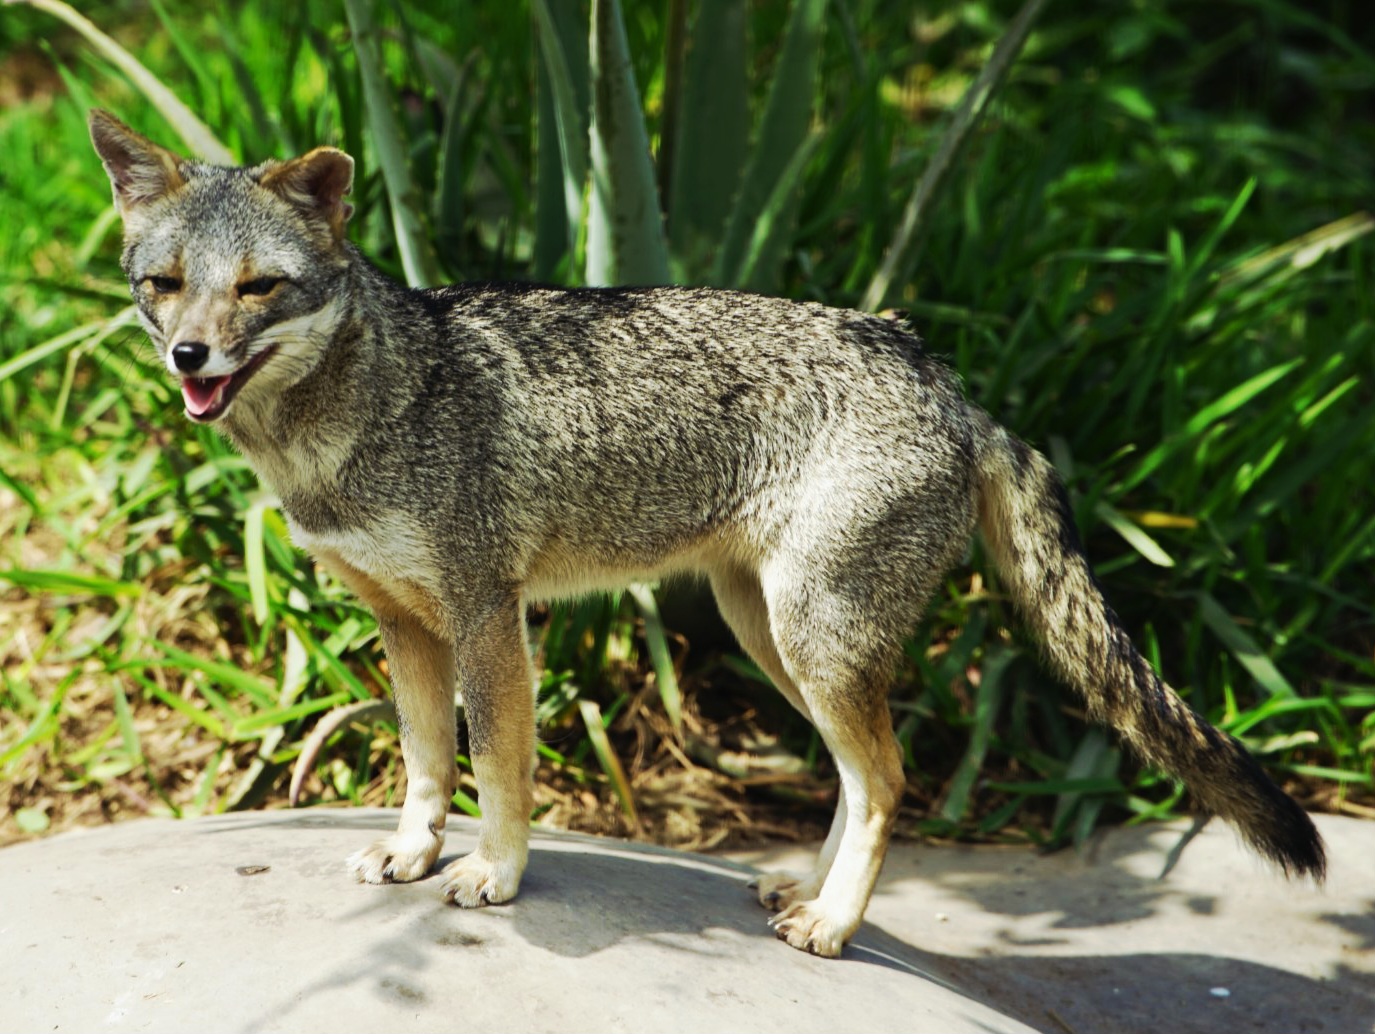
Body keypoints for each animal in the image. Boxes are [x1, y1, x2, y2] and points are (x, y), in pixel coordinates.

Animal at [89, 109, 1324, 958]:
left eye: (258, 288)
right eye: (166, 284)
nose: (189, 357)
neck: (365, 411)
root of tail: (943, 377)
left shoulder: (489, 615)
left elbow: (496, 766)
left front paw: (493, 873)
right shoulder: (402, 622)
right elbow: (426, 759)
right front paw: (412, 848)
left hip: (813, 640)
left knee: (889, 777)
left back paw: (833, 924)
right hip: (769, 635)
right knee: (854, 774)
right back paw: (810, 894)